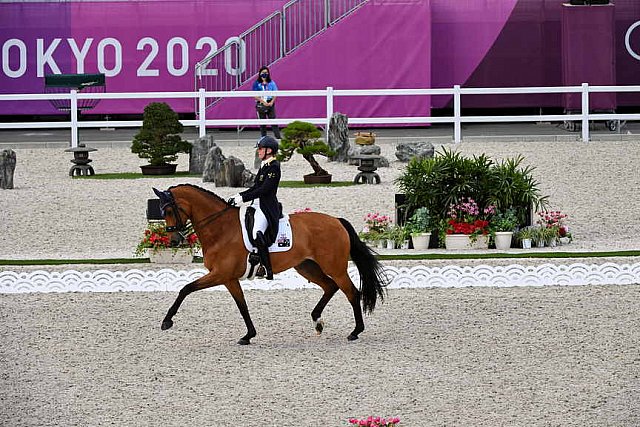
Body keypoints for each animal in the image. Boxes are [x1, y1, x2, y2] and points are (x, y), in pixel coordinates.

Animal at [152, 184, 388, 344]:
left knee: (351, 292)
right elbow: (242, 306)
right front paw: (248, 335)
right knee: (330, 287)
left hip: (335, 268)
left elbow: (185, 288)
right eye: (162, 212)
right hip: (307, 267)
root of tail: (337, 221)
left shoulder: (220, 274)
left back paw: (355, 332)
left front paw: (167, 321)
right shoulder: (228, 278)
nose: (173, 241)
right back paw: (318, 322)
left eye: (170, 211)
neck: (220, 229)